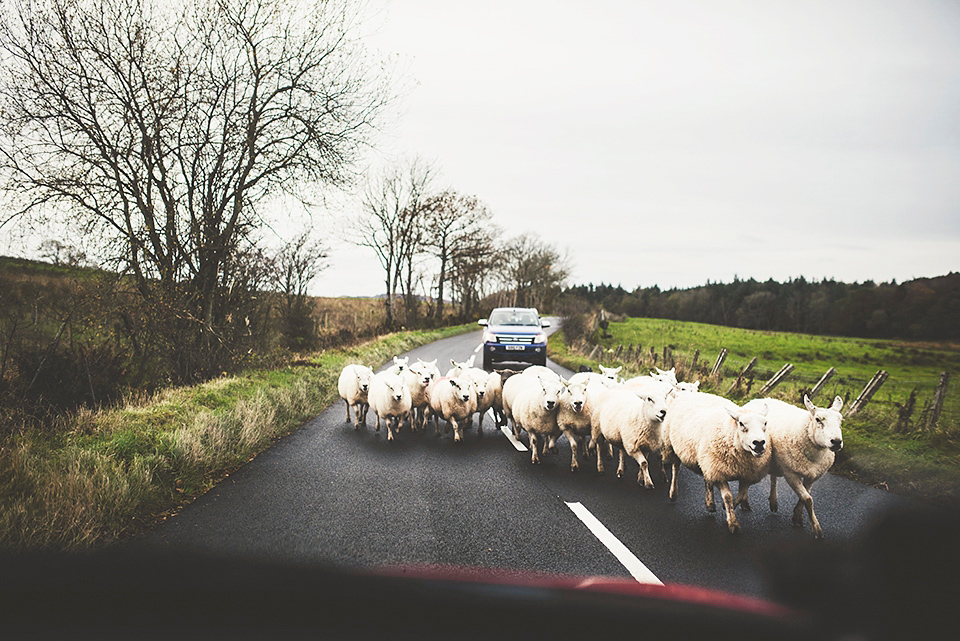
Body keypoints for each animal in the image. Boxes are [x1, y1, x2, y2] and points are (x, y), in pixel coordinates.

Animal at [664, 392, 768, 532]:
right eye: (741, 424)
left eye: (765, 423)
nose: (759, 443)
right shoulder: (719, 473)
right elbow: (728, 497)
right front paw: (733, 523)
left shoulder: (746, 474)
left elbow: (741, 494)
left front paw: (732, 506)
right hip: (672, 445)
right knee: (676, 468)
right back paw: (673, 493)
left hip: (706, 460)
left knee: (707, 479)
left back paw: (710, 504)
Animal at [748, 396, 844, 536]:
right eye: (818, 419)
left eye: (840, 420)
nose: (836, 442)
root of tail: (759, 398)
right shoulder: (790, 473)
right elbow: (808, 499)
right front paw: (816, 528)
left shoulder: (812, 475)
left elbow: (805, 497)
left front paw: (797, 517)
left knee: (773, 478)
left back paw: (773, 501)